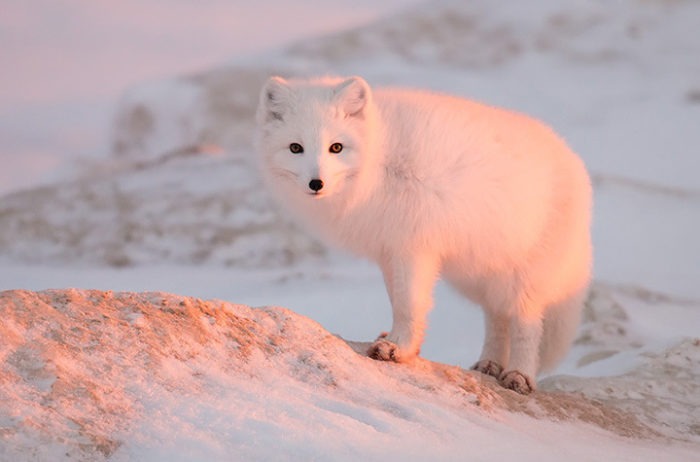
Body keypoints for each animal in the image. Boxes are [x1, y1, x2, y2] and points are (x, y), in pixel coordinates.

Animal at [253, 76, 592, 394]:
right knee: (497, 317)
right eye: (295, 148)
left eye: (336, 147)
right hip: (481, 273)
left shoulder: (413, 247)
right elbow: (397, 300)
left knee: (526, 322)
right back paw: (489, 364)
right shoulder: (388, 249)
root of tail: (574, 162)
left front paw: (398, 349)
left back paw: (519, 375)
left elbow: (409, 304)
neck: (380, 161)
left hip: (523, 276)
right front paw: (402, 344)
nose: (316, 183)